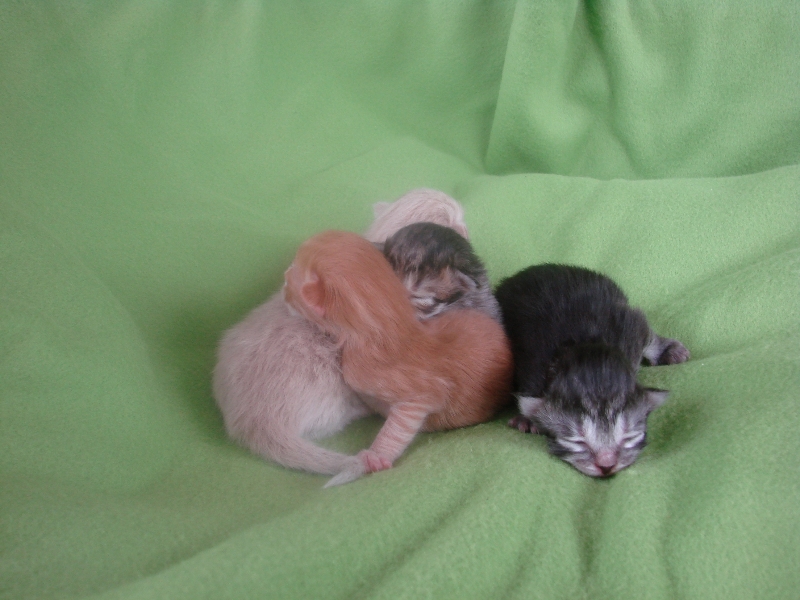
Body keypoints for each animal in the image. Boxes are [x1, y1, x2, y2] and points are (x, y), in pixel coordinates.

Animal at [494, 264, 690, 478]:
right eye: (576, 441)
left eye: (629, 437)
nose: (606, 464)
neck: (587, 344)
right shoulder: (533, 353)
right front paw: (527, 418)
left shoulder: (628, 327)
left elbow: (645, 331)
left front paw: (665, 348)